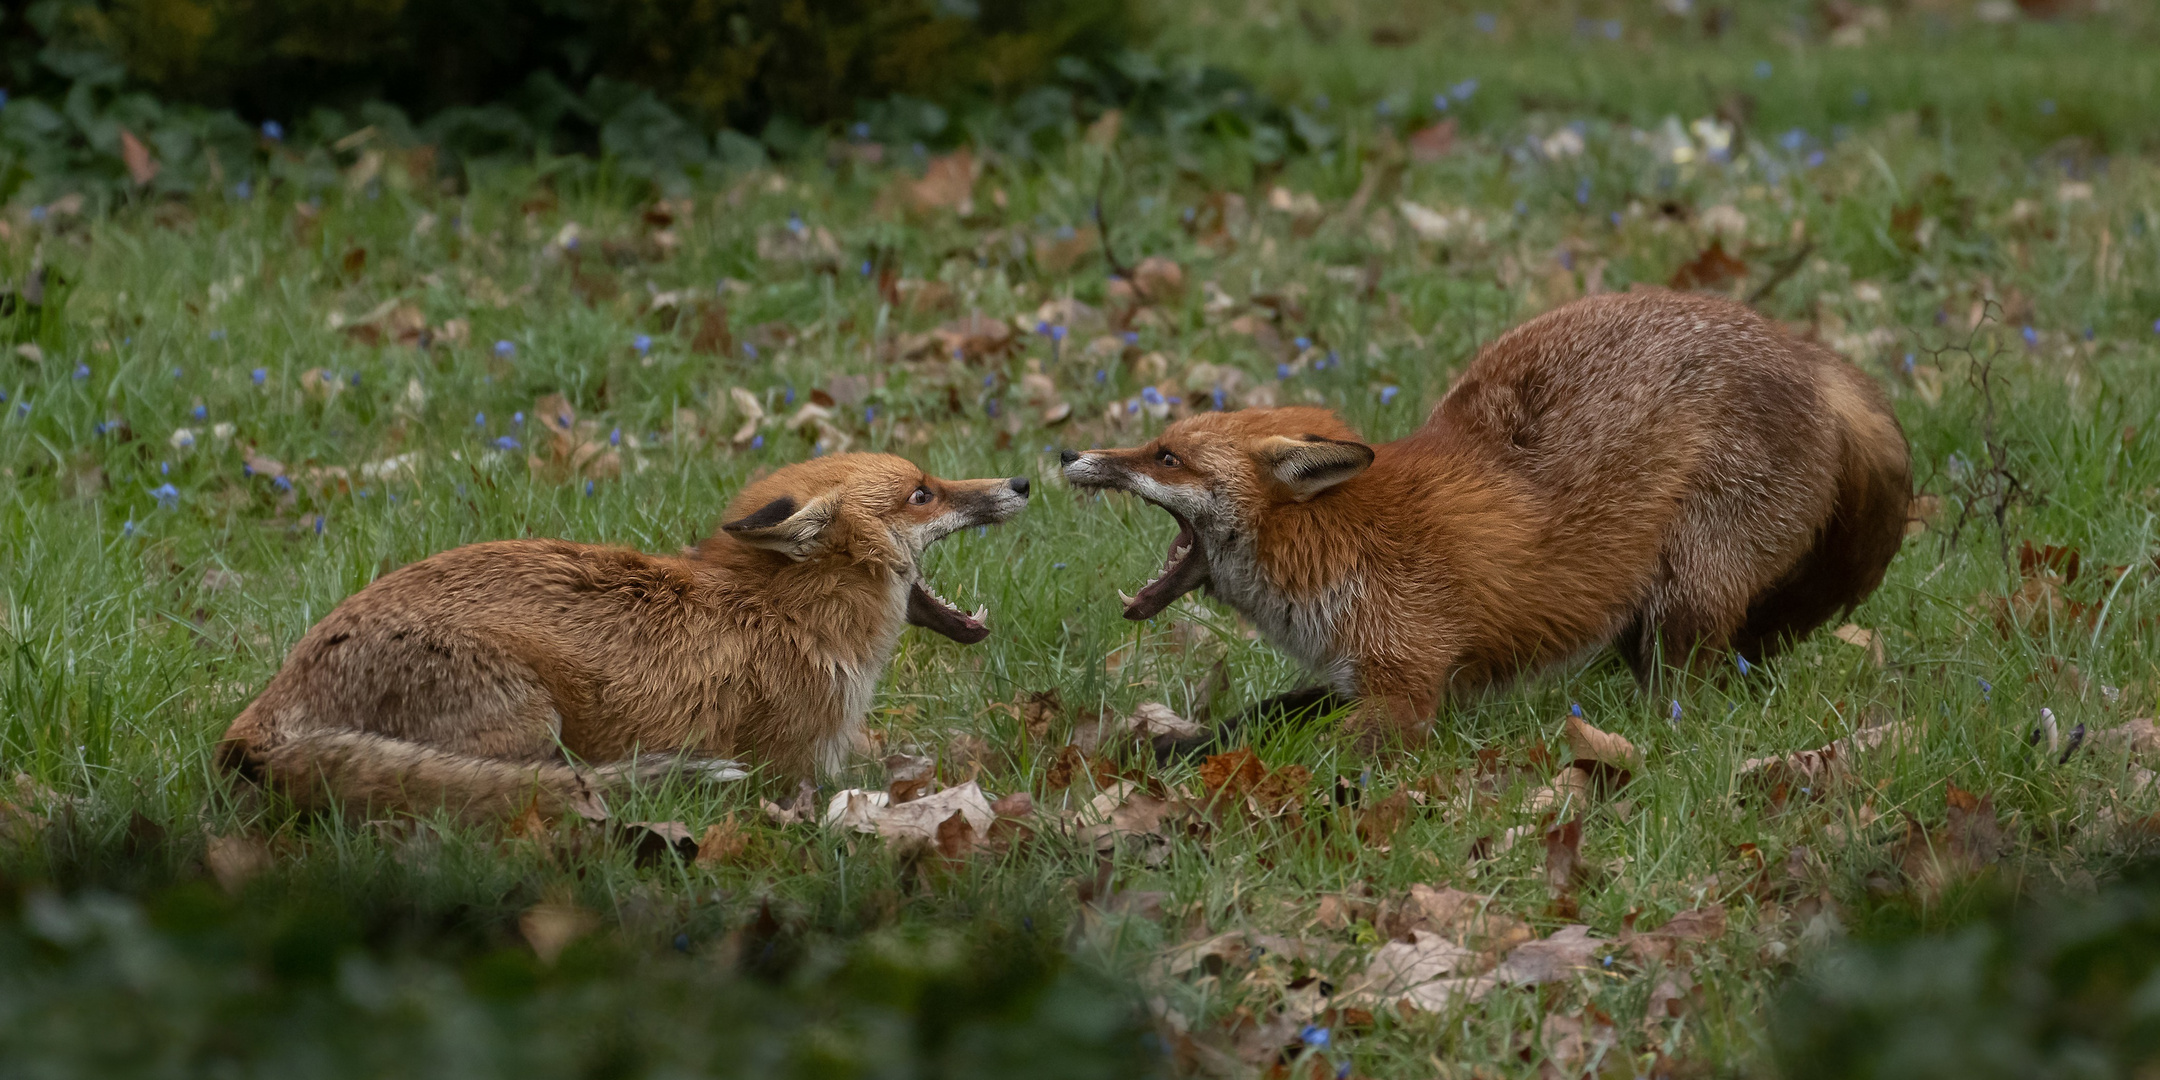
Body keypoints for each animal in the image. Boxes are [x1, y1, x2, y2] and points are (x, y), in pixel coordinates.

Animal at [219, 453, 1028, 816]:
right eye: (922, 493)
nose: (1021, 481)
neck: (784, 612)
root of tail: (259, 717)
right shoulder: (796, 769)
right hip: (529, 723)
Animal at [1062, 287, 1909, 743]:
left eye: (1167, 457)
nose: (1068, 450)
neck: (1339, 543)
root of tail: (1805, 354)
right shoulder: (1353, 674)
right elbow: (1250, 723)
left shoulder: (1405, 684)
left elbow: (1308, 755)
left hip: (1690, 593)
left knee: (1686, 696)